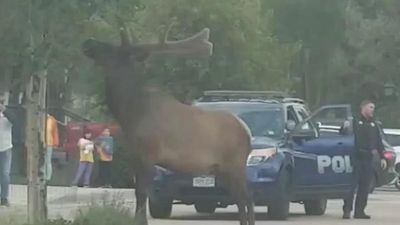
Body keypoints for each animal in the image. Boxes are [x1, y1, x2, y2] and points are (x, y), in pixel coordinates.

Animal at [81, 19, 255, 225]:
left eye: (113, 50)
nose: (88, 42)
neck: (130, 113)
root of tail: (247, 132)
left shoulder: (149, 153)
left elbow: (142, 195)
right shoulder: (135, 156)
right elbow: (138, 194)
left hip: (235, 164)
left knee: (247, 200)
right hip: (224, 170)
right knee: (241, 201)